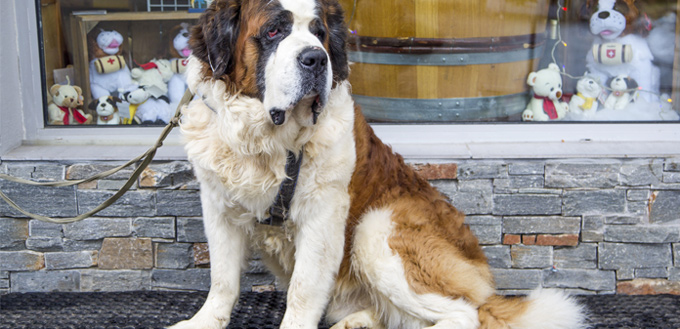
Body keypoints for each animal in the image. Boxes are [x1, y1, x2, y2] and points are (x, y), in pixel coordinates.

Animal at [169, 0, 584, 328]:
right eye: (273, 30)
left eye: (319, 33)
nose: (316, 58)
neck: (270, 141)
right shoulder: (218, 207)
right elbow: (223, 279)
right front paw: (203, 322)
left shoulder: (322, 215)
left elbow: (302, 290)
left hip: (376, 228)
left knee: (467, 314)